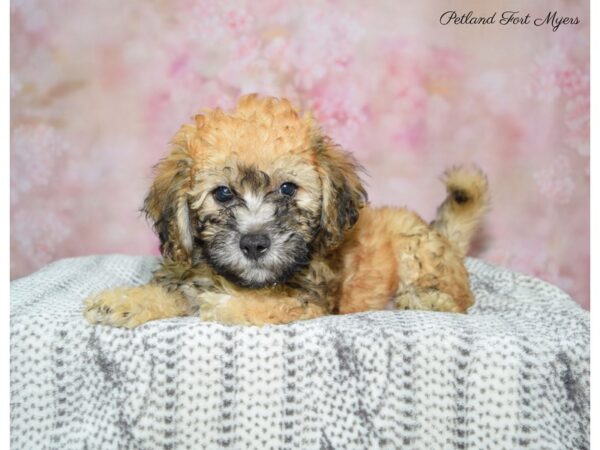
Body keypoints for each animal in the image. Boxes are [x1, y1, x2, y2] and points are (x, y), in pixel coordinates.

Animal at [84, 95, 488, 326]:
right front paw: (122, 302)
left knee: (458, 296)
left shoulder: (308, 299)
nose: (254, 244)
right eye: (223, 193)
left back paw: (426, 298)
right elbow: (176, 292)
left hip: (417, 248)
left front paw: (225, 304)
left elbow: (265, 303)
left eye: (287, 189)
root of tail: (443, 237)